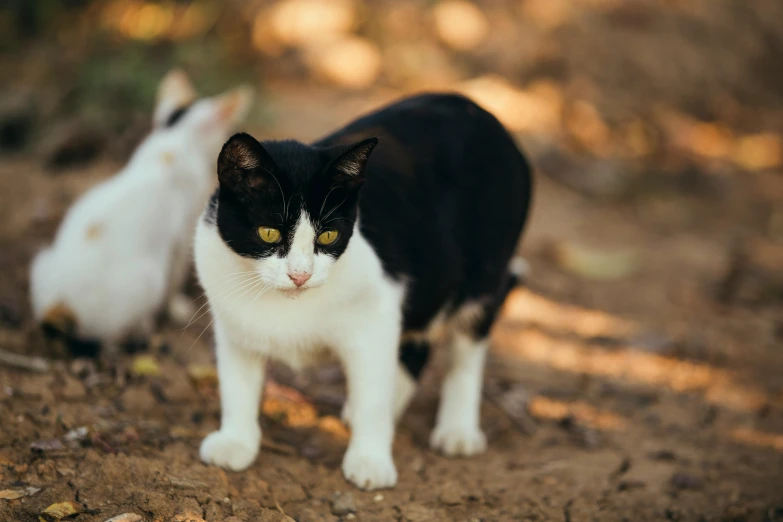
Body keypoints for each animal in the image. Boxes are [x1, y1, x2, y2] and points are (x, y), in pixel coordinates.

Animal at [29, 69, 251, 354]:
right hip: (147, 280)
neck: (174, 139)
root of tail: (59, 305)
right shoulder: (183, 234)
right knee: (110, 341)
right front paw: (179, 308)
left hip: (42, 261)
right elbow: (176, 275)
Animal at [198, 93, 532, 488]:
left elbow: (372, 392)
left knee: (467, 344)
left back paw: (458, 430)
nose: (300, 275)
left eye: (328, 236)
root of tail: (478, 109)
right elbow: (236, 383)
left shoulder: (378, 311)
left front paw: (371, 460)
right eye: (269, 233)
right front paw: (236, 442)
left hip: (485, 267)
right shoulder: (233, 324)